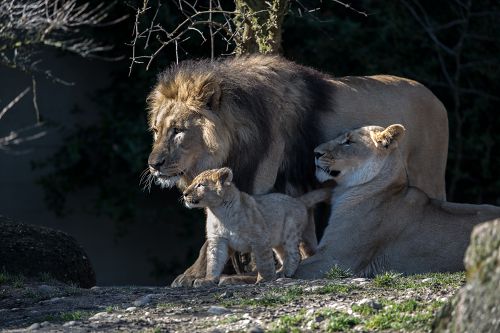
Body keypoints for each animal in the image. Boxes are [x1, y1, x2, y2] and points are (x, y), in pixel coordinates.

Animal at [146, 55, 450, 286]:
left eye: (178, 130)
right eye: (157, 130)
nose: (153, 164)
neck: (236, 139)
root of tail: (436, 98)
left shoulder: (259, 185)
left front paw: (194, 276)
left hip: (429, 173)